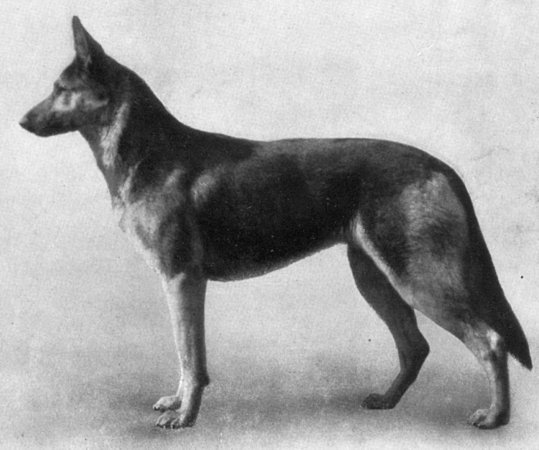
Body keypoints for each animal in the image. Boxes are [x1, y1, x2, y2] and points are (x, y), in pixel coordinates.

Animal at [20, 17, 531, 430]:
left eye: (60, 89)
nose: (23, 121)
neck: (148, 152)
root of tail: (440, 167)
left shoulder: (182, 280)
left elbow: (191, 357)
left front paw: (185, 417)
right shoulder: (181, 284)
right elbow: (187, 356)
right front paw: (177, 404)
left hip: (419, 280)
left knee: (490, 340)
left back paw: (495, 417)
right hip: (375, 279)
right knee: (415, 347)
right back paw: (387, 400)